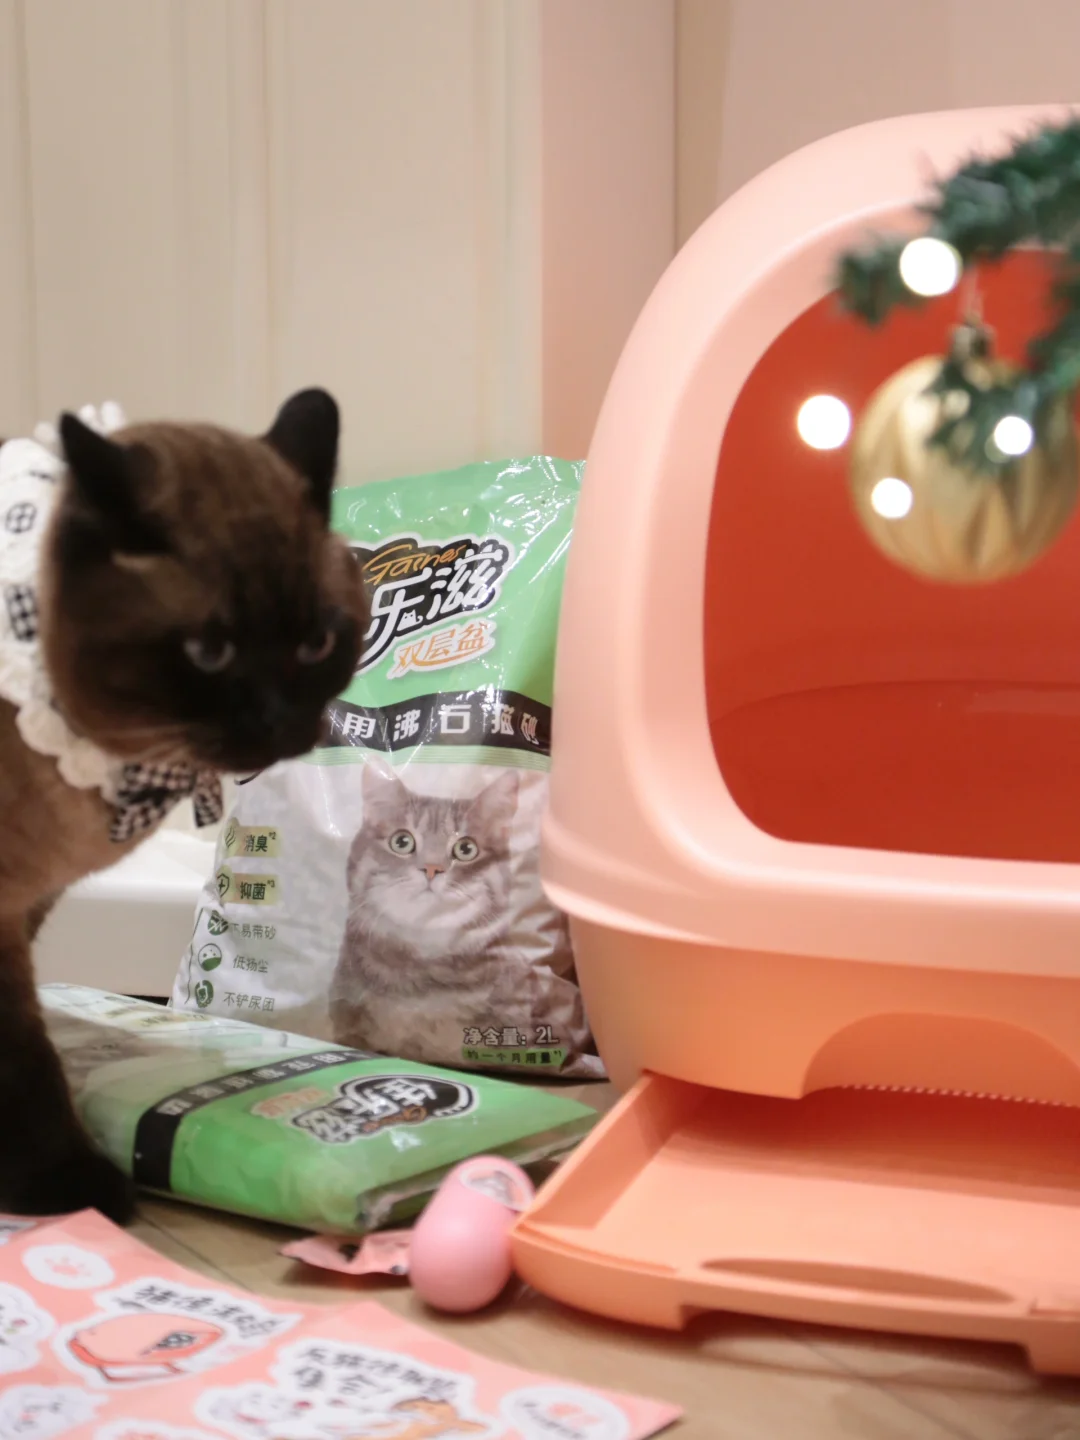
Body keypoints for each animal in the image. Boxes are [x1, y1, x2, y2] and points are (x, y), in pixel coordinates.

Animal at [0, 389, 366, 1223]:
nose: (278, 723)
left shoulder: (25, 905)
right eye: (209, 653)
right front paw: (71, 1187)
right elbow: (24, 1060)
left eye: (315, 643)